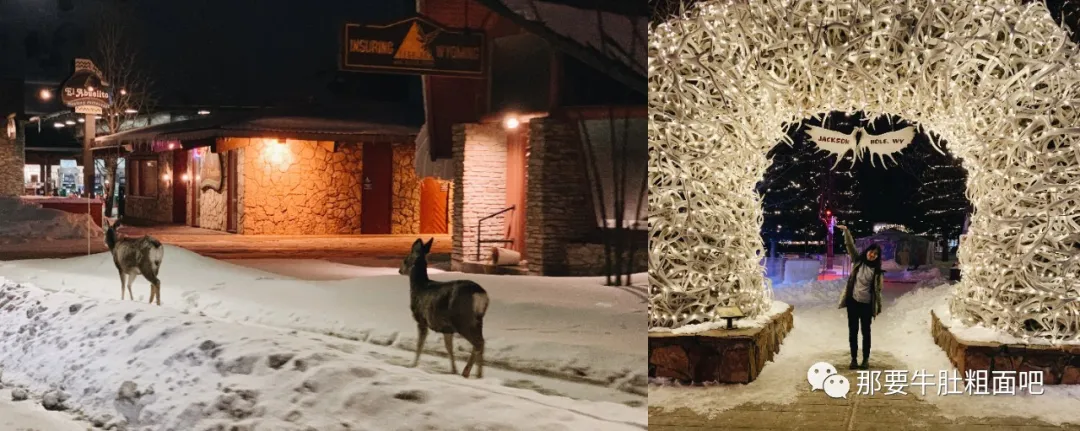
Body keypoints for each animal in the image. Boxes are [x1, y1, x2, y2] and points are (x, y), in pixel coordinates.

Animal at [401, 237, 490, 380]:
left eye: (405, 259)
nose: (399, 270)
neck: (419, 287)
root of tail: (481, 295)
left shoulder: (422, 319)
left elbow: (420, 344)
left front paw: (412, 365)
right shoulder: (446, 328)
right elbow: (449, 348)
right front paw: (453, 370)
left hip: (463, 320)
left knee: (478, 343)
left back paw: (466, 372)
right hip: (478, 320)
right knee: (481, 342)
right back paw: (478, 375)